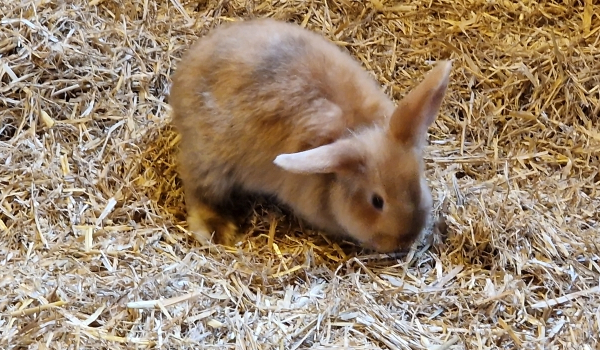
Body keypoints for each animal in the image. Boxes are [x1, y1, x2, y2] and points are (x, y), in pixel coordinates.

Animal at [169, 17, 450, 253]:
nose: (406, 239)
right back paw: (217, 230)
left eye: (418, 180)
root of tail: (181, 78)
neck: (355, 130)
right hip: (211, 164)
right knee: (199, 192)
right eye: (377, 201)